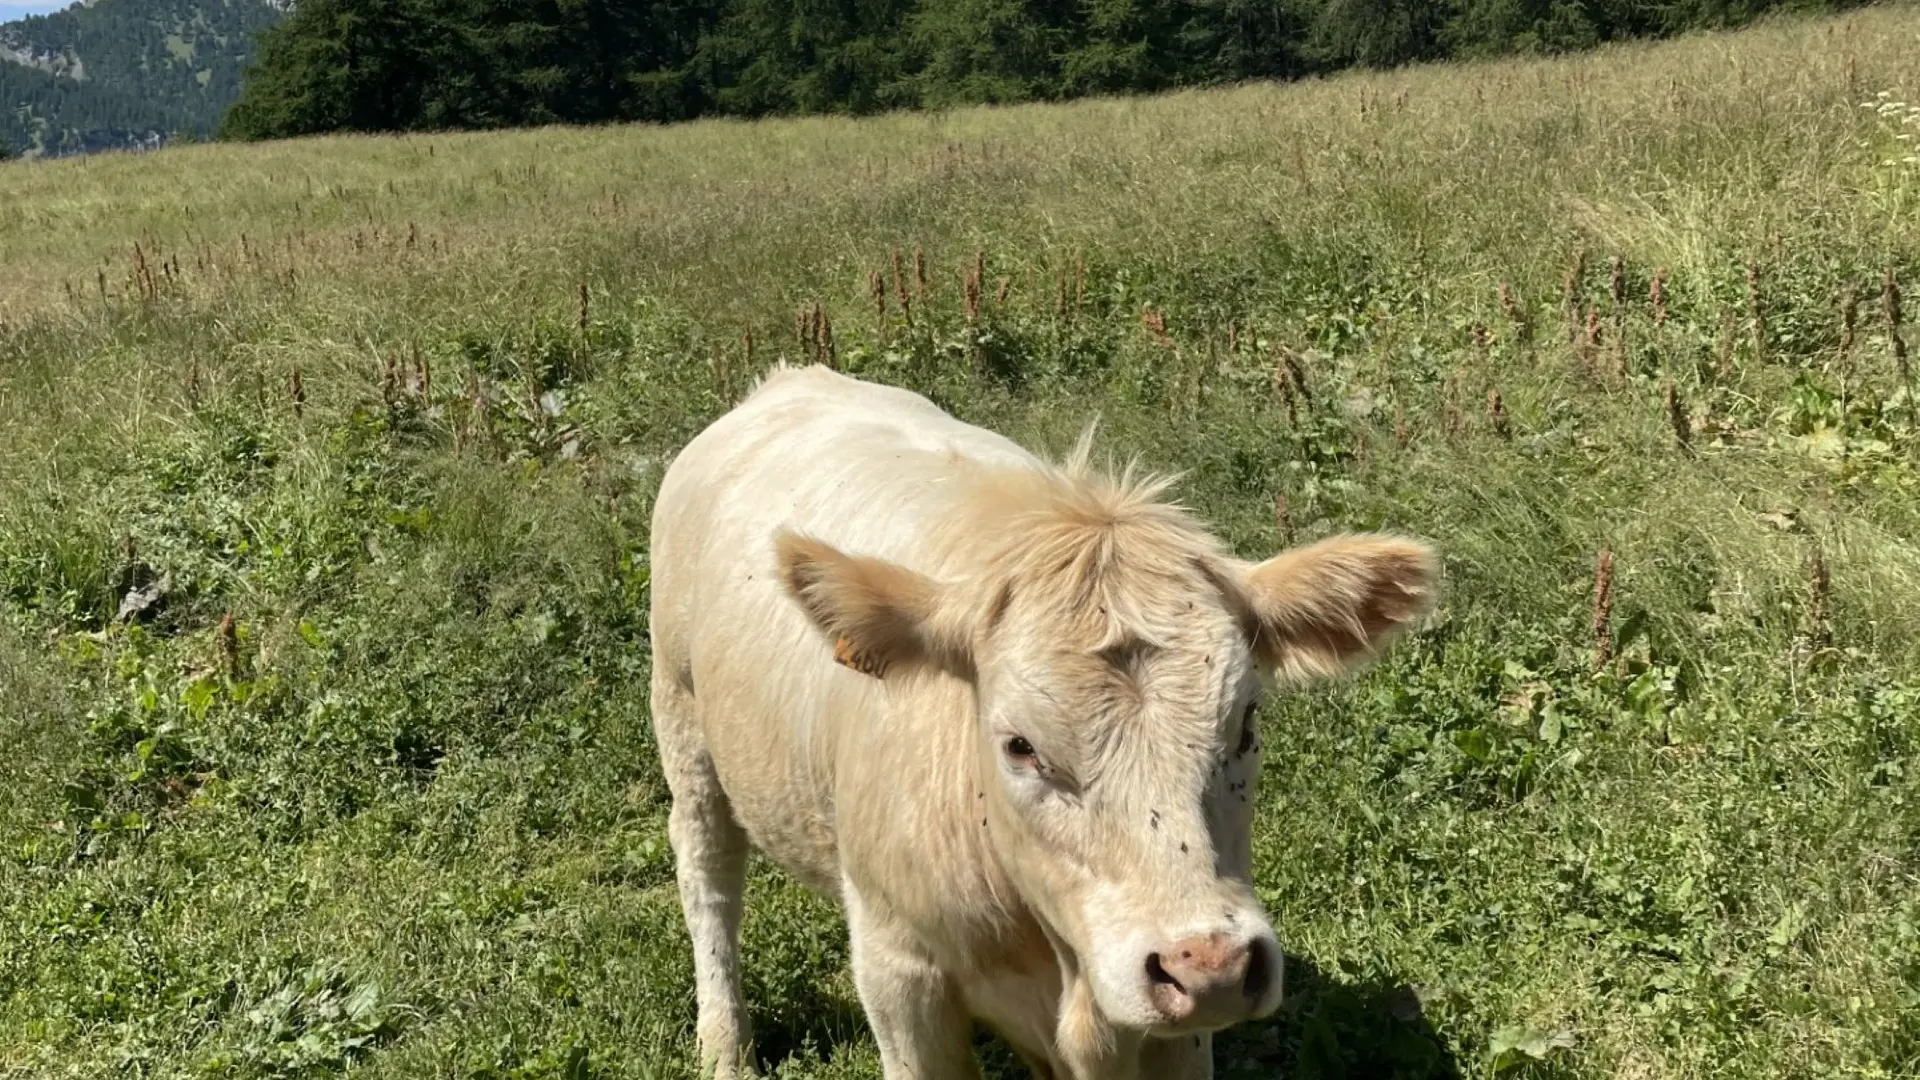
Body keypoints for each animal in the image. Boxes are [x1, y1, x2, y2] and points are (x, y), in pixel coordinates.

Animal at [648, 364, 1437, 1079]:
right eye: (1019, 746)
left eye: (1246, 722)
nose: (1207, 967)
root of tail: (789, 379)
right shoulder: (899, 973)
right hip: (683, 718)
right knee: (708, 871)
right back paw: (725, 1047)